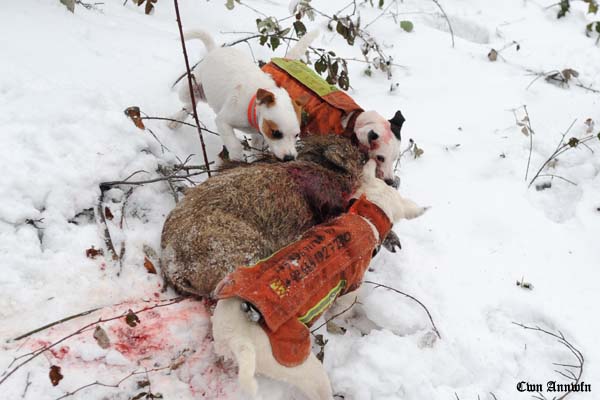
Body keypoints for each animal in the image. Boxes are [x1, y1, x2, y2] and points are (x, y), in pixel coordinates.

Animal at [168, 30, 300, 161]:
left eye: (297, 135)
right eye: (276, 133)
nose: (289, 158)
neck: (253, 104)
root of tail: (215, 49)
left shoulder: (258, 134)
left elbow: (257, 149)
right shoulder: (223, 121)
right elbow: (234, 144)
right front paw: (237, 158)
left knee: (194, 101)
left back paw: (177, 120)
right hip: (187, 89)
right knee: (192, 99)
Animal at [211, 160, 426, 400]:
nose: (394, 180)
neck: (364, 217)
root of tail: (238, 339)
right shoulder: (350, 291)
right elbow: (345, 309)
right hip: (303, 367)